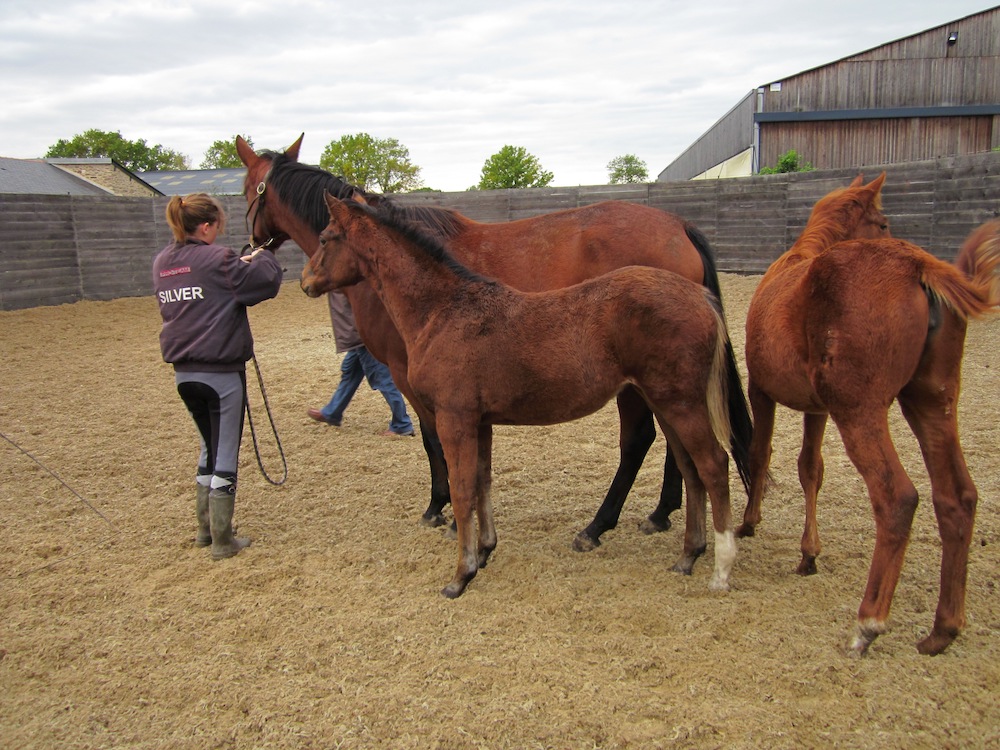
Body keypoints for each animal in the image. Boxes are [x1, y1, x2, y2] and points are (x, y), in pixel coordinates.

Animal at [236, 138, 752, 556]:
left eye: (245, 190)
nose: (251, 247)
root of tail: (678, 225)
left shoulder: (413, 377)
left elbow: (433, 443)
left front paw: (440, 507)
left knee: (642, 440)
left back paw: (599, 525)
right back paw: (662, 514)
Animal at [304, 192, 752, 600]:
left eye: (325, 238)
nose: (306, 282)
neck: (444, 310)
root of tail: (701, 298)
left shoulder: (454, 417)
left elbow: (462, 489)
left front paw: (460, 575)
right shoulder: (480, 421)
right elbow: (482, 481)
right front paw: (485, 551)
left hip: (681, 403)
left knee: (712, 465)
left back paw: (718, 568)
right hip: (665, 402)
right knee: (690, 469)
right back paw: (687, 555)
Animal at [740, 173, 996, 656]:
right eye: (883, 223)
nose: (891, 232)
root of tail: (918, 266)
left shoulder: (762, 393)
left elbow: (760, 456)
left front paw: (750, 521)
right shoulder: (816, 409)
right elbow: (809, 469)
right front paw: (807, 553)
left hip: (860, 412)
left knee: (897, 498)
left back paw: (869, 621)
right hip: (930, 405)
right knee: (957, 497)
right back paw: (942, 630)